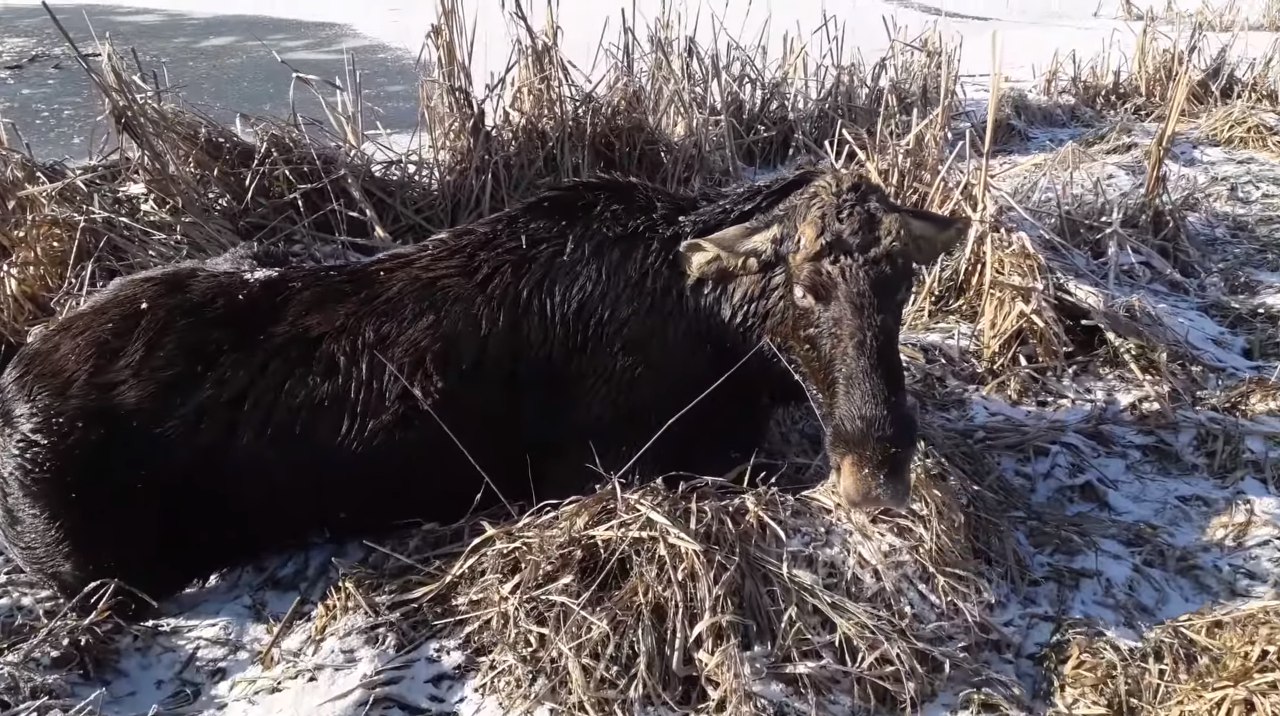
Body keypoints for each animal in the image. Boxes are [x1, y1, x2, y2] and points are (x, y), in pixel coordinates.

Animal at [0, 163, 962, 609]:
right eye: (802, 283)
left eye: (901, 282)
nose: (875, 471)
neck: (725, 340)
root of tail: (12, 382)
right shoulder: (608, 465)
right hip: (98, 575)